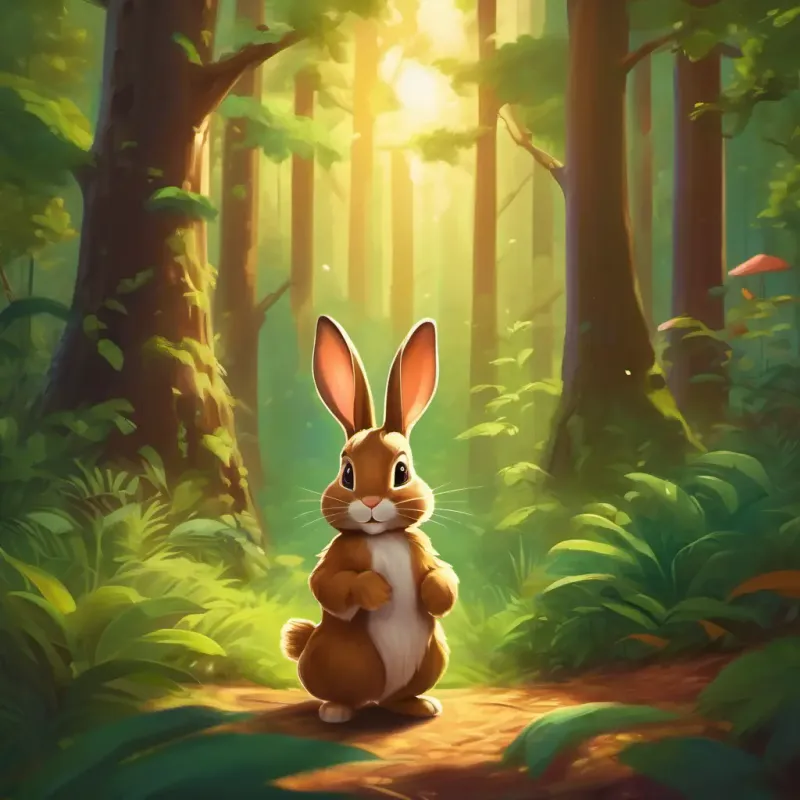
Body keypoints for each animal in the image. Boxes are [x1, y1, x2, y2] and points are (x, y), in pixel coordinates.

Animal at [280, 315, 459, 724]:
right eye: (347, 474)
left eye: (402, 471)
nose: (372, 502)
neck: (381, 538)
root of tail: (377, 698)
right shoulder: (336, 559)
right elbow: (328, 585)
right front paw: (375, 590)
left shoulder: (422, 550)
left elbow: (444, 578)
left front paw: (432, 593)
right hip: (338, 660)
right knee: (344, 695)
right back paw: (336, 711)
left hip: (431, 657)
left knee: (399, 698)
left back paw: (420, 706)